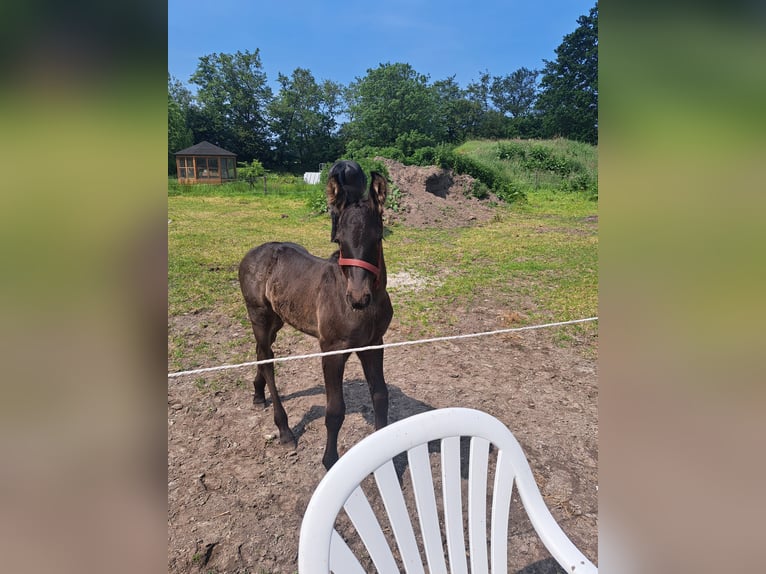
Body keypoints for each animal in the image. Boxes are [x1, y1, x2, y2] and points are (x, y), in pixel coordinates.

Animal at [238, 160, 396, 470]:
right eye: (340, 240)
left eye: (377, 237)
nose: (358, 298)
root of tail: (254, 252)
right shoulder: (332, 351)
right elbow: (335, 411)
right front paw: (330, 460)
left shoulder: (374, 345)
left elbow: (380, 395)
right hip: (258, 315)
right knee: (267, 359)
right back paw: (284, 430)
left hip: (277, 319)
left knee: (261, 353)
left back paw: (258, 394)